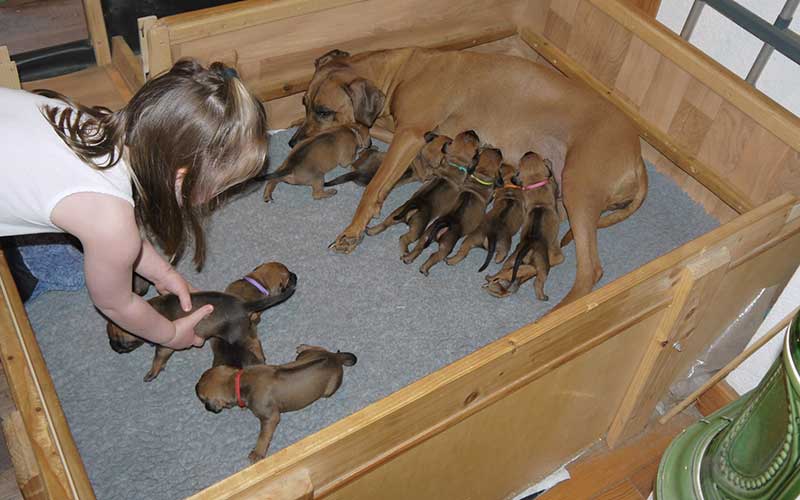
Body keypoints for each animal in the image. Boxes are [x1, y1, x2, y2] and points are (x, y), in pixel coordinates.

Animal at [106, 272, 296, 382]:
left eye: (118, 341)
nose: (113, 348)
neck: (152, 311)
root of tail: (244, 305)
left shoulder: (166, 346)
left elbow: (158, 359)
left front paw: (152, 373)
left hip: (238, 337)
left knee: (255, 343)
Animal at [195, 344, 356, 462]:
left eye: (202, 398)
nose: (195, 387)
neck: (237, 380)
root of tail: (335, 357)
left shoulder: (271, 418)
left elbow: (263, 436)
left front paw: (257, 453)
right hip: (307, 355)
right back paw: (304, 346)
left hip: (329, 390)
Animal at [403, 147, 503, 275]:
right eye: (499, 154)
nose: (498, 149)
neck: (481, 176)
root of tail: (445, 222)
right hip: (446, 245)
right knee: (435, 256)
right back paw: (424, 269)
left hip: (426, 234)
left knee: (419, 247)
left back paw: (408, 258)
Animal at [484, 152, 562, 299]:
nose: (528, 152)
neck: (536, 184)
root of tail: (528, 246)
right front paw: (549, 163)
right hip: (543, 265)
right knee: (537, 280)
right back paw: (542, 296)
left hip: (511, 259)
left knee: (502, 271)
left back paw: (491, 278)